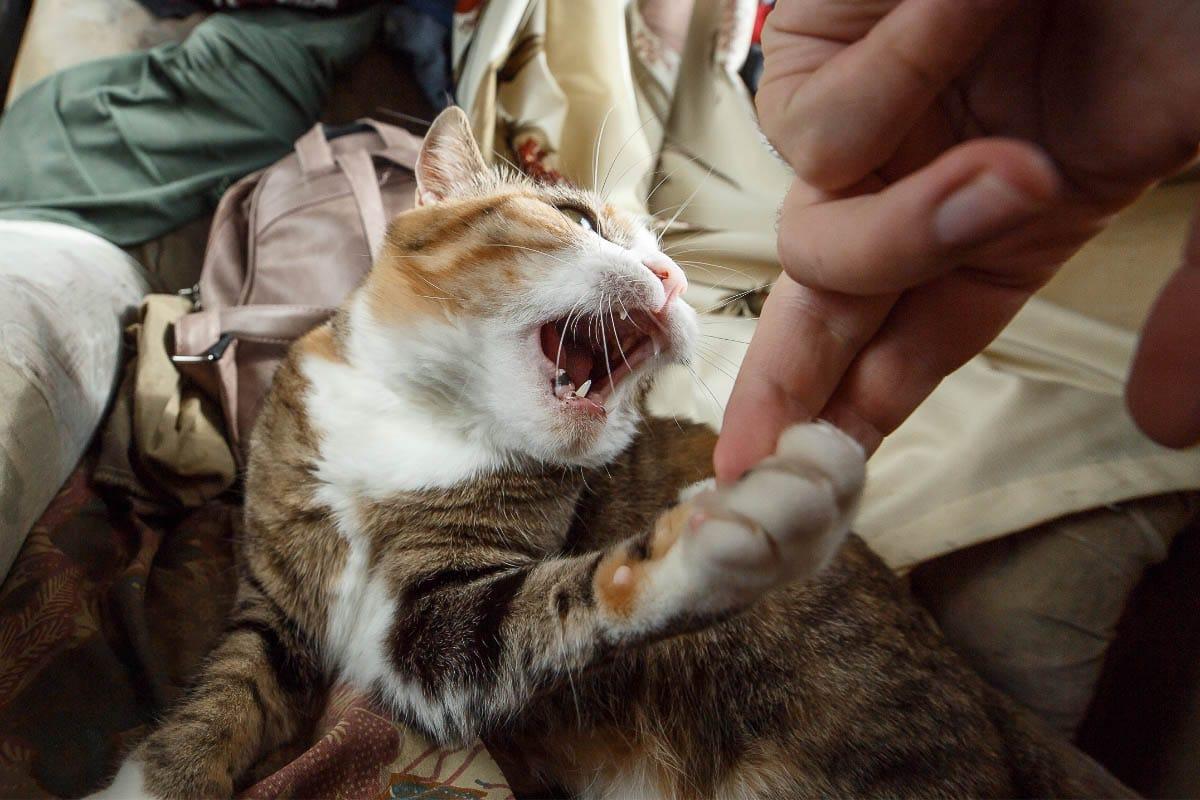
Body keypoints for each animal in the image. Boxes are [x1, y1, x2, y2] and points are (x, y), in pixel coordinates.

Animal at [88, 107, 1094, 800]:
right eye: (578, 217)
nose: (674, 277)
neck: (417, 417)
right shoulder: (278, 609)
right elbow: (220, 702)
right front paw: (147, 779)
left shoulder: (428, 639)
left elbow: (575, 591)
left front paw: (733, 524)